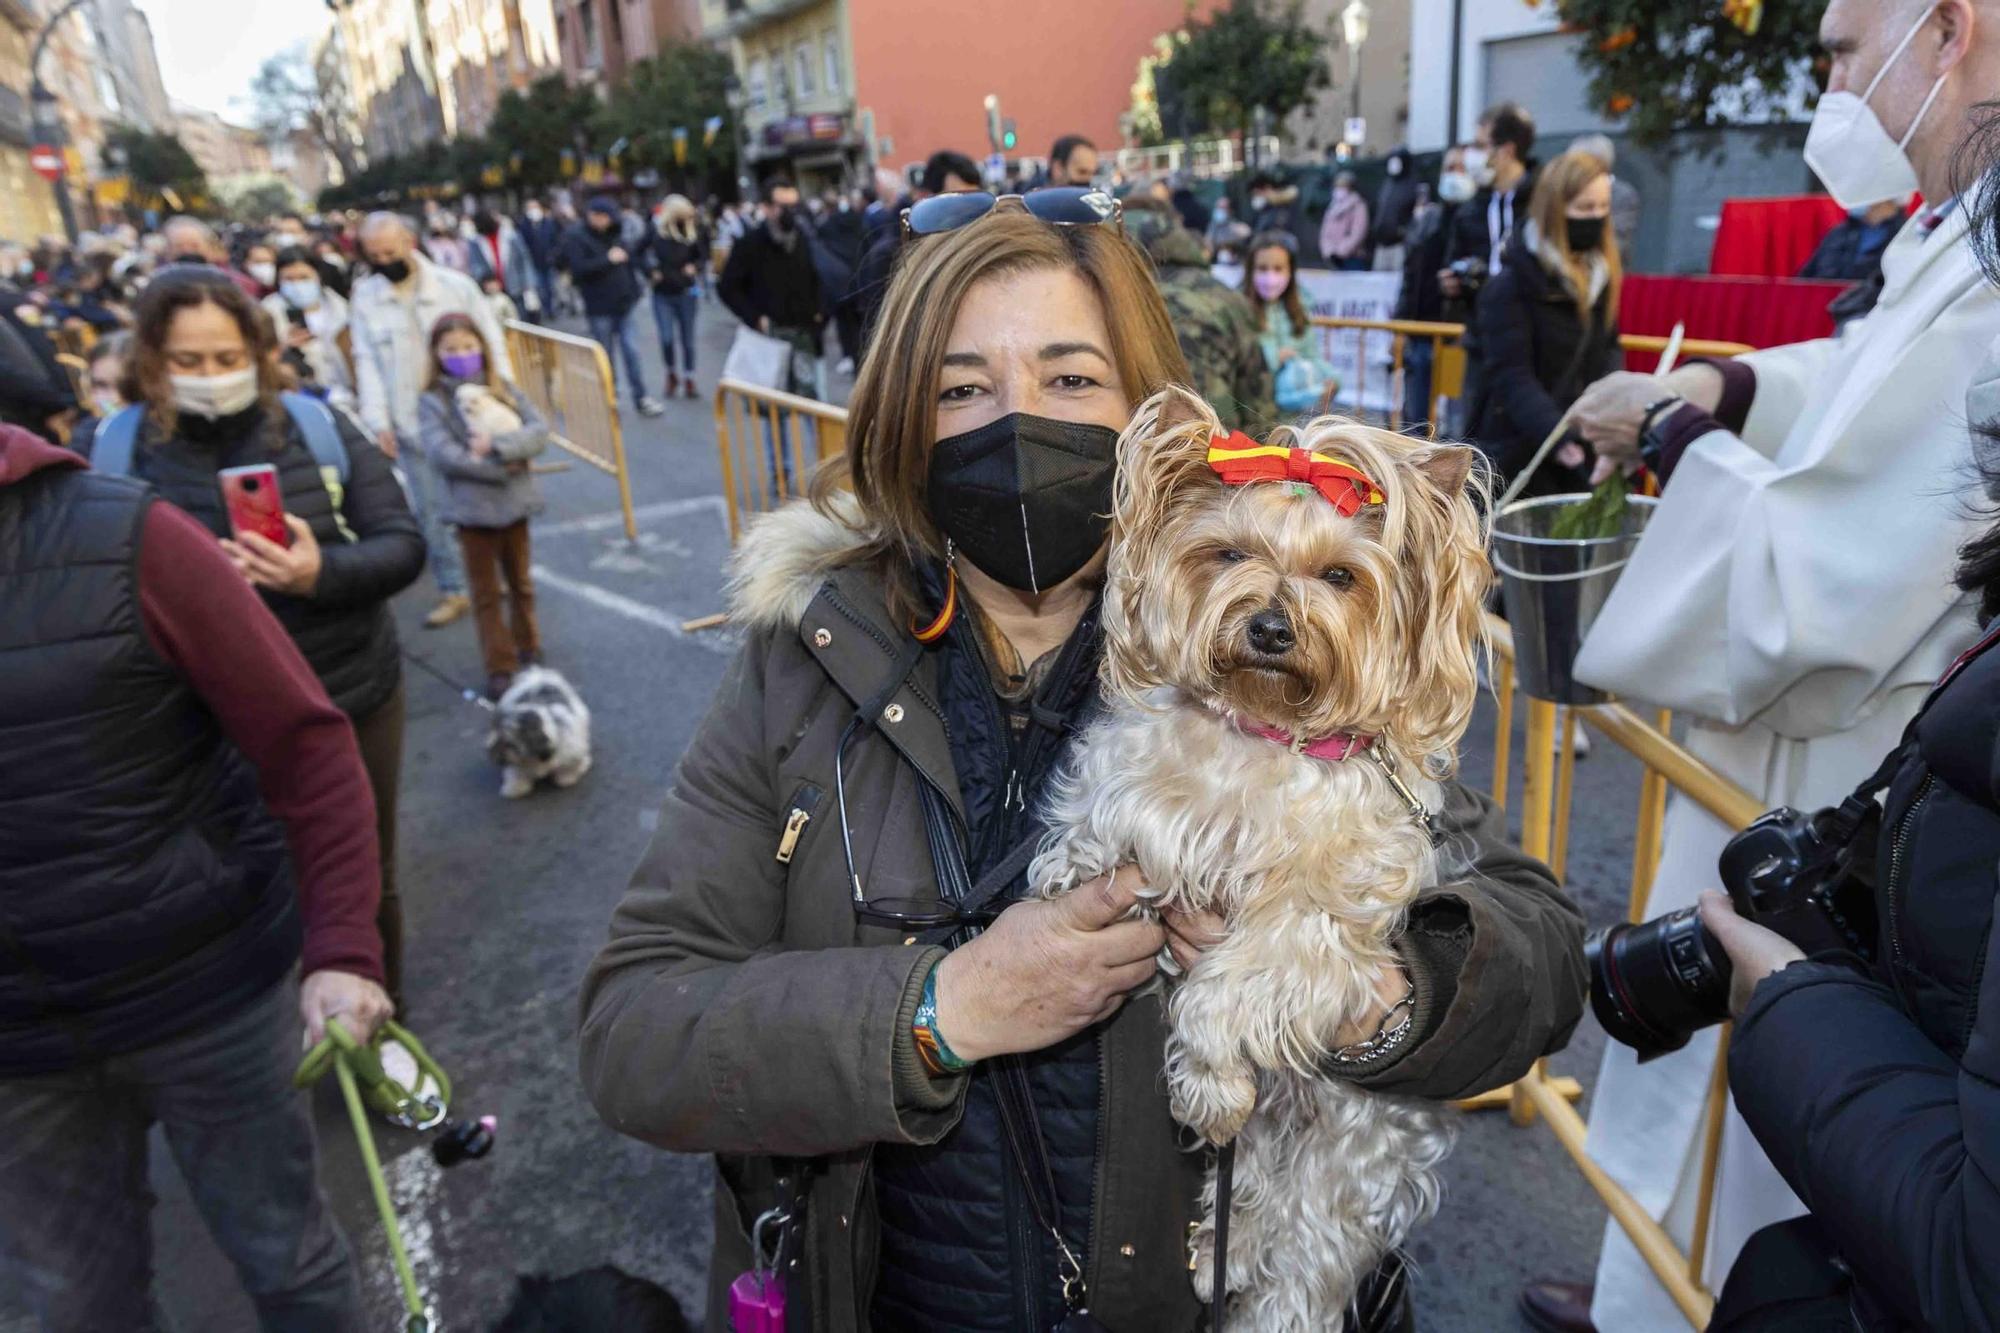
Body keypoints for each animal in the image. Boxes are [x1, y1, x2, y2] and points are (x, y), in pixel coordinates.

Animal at [1032, 382, 1488, 1320]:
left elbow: (1223, 991)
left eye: (1341, 576)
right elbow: (1101, 830)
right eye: (1229, 553)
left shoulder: (1320, 929)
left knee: (1296, 1265)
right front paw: (1070, 871)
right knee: (1246, 1207)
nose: (1272, 627)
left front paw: (1209, 1088)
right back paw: (1217, 1252)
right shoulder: (1140, 800)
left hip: (1341, 1169)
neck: (1265, 729)